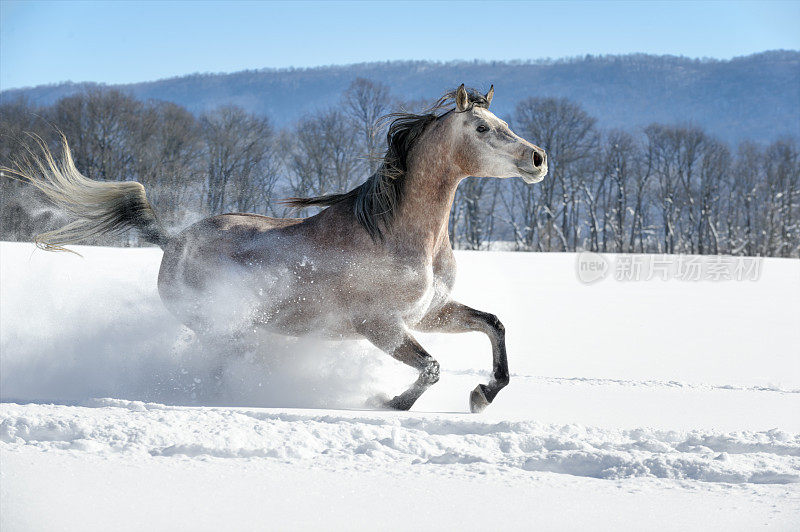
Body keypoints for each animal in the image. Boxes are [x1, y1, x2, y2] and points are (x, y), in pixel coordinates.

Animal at [4, 86, 544, 412]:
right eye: (482, 128)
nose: (537, 158)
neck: (397, 233)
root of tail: (173, 241)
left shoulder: (428, 313)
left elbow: (493, 324)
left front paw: (483, 394)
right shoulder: (378, 323)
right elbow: (430, 367)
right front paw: (391, 404)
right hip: (222, 327)